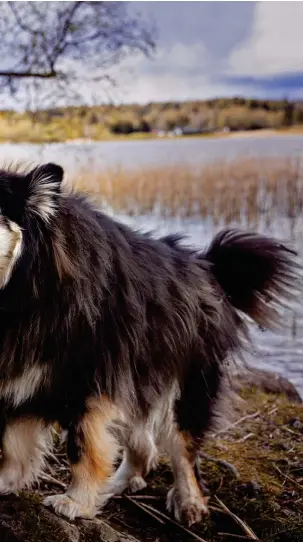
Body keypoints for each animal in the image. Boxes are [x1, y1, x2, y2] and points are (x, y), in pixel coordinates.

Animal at [0, 163, 300, 528]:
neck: (24, 286)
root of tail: (208, 266)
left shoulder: (88, 376)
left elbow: (83, 445)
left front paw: (75, 503)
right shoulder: (20, 373)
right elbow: (13, 441)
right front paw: (7, 481)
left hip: (187, 380)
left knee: (183, 447)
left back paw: (189, 502)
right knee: (142, 443)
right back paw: (119, 483)